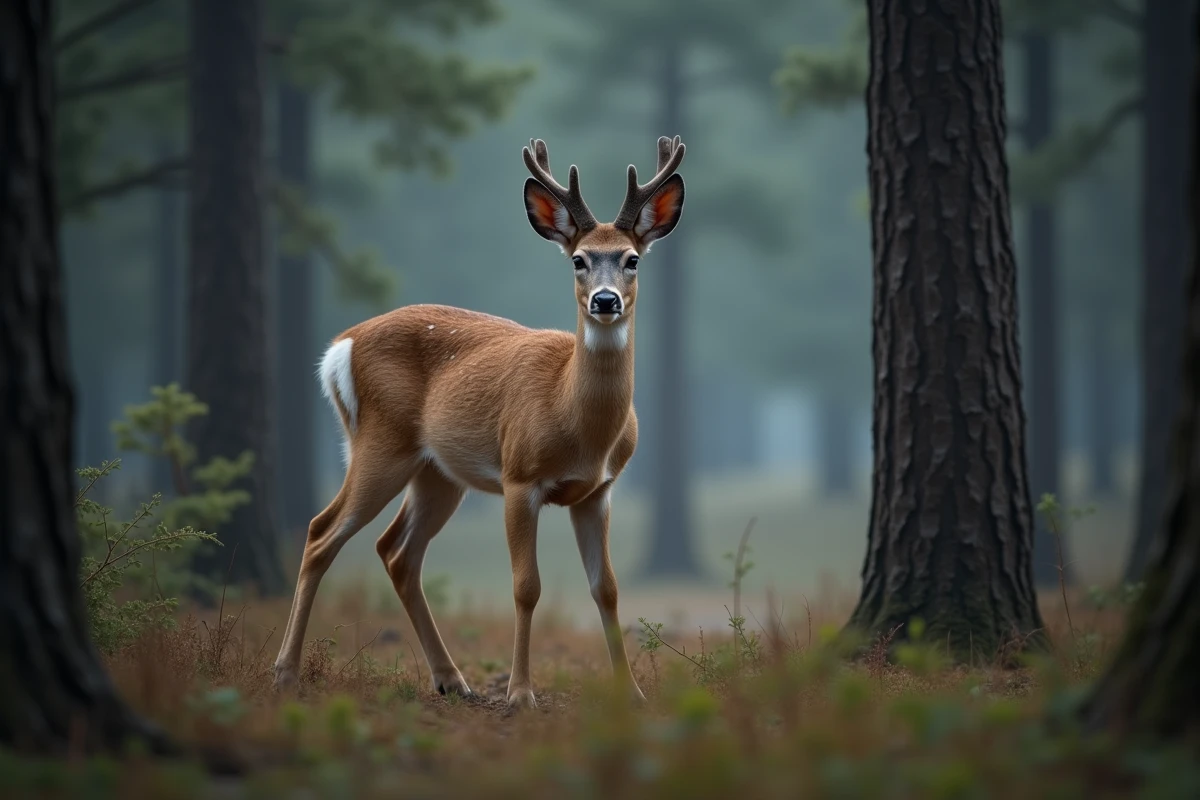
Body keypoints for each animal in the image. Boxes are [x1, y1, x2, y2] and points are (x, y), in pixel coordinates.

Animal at [271, 136, 686, 709]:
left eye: (632, 260)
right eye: (579, 261)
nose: (606, 301)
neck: (576, 421)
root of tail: (340, 347)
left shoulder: (598, 491)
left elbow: (607, 587)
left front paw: (632, 694)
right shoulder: (520, 477)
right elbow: (526, 586)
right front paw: (520, 693)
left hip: (438, 473)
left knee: (396, 551)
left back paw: (451, 679)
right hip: (379, 444)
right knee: (320, 532)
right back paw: (285, 672)